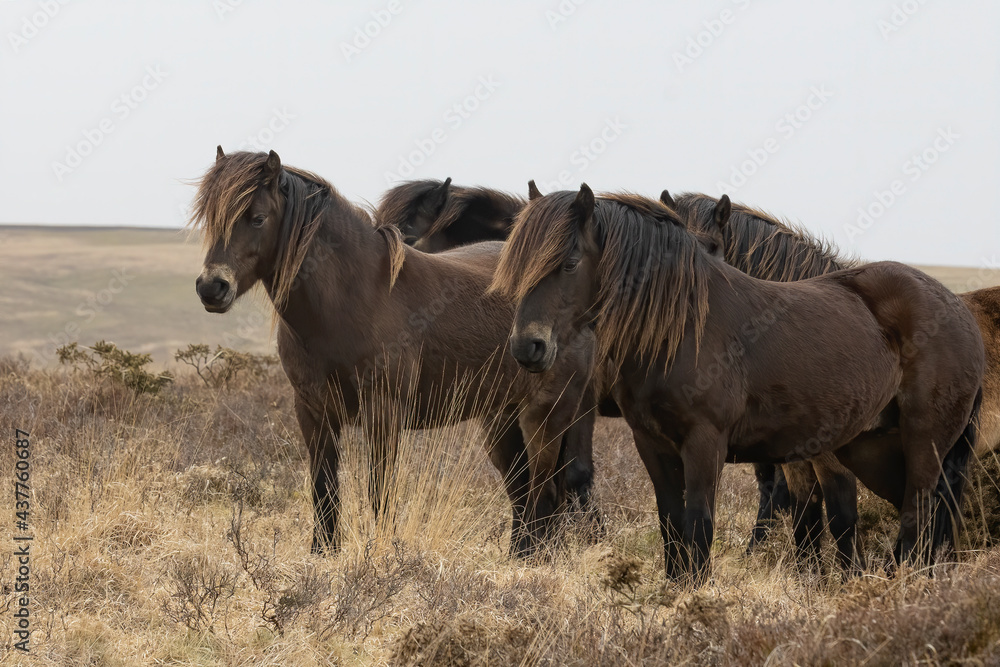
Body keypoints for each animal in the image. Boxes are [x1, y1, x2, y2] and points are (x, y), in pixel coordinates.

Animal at [191, 148, 589, 555]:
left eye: (257, 218)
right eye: (210, 216)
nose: (211, 287)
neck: (356, 296)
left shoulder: (383, 411)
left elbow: (379, 490)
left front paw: (380, 552)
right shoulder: (313, 411)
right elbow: (323, 488)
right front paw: (323, 552)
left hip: (547, 413)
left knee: (546, 491)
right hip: (501, 419)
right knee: (522, 491)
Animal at [492, 184, 984, 580]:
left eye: (570, 262)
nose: (527, 346)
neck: (683, 329)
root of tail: (958, 308)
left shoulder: (705, 442)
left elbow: (699, 528)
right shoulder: (652, 444)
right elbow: (672, 528)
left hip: (922, 444)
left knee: (917, 517)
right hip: (870, 447)